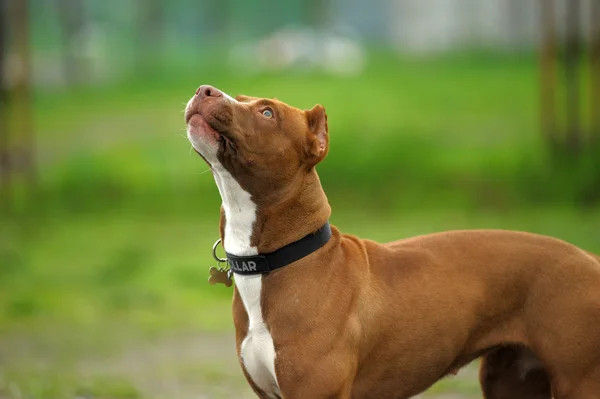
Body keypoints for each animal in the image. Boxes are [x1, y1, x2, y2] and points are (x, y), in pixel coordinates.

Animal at [185, 85, 600, 399]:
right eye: (239, 96)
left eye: (268, 113)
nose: (204, 90)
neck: (281, 259)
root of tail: (589, 259)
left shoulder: (316, 392)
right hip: (511, 380)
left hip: (579, 381)